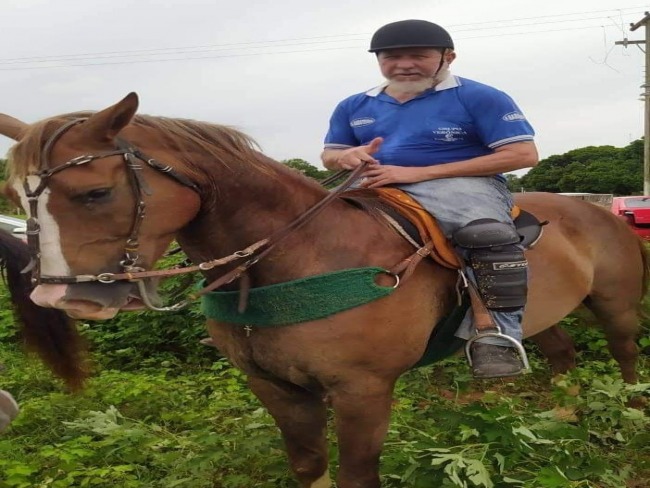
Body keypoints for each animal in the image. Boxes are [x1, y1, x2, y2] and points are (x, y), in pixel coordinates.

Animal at [1, 92, 644, 488]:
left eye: (95, 193)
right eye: (17, 199)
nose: (59, 300)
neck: (296, 257)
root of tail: (602, 213)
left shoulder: (363, 391)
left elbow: (358, 474)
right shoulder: (276, 387)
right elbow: (309, 464)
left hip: (616, 307)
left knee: (626, 359)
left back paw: (630, 416)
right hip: (543, 314)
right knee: (560, 352)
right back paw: (562, 416)